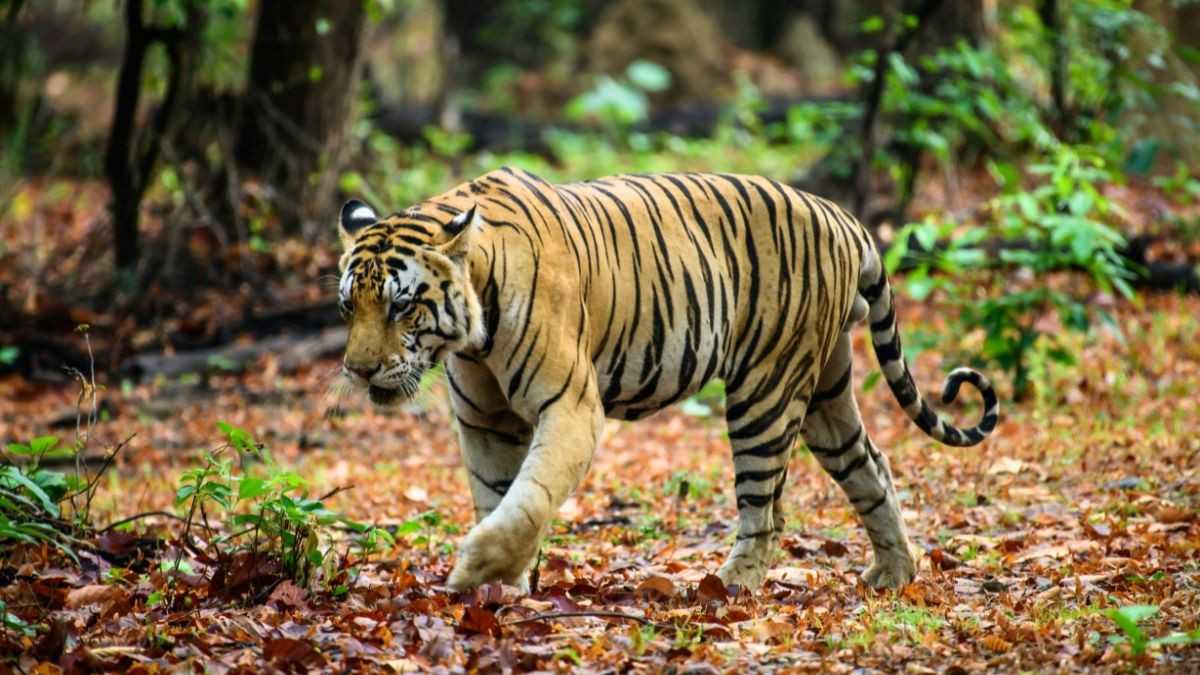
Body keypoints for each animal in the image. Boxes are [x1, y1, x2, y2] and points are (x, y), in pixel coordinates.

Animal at [333, 167, 999, 592]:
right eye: (348, 307)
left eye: (400, 306)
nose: (358, 370)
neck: (471, 333)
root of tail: (840, 215)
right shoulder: (486, 420)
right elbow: (497, 495)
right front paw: (500, 587)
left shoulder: (571, 406)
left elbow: (530, 496)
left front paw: (476, 570)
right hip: (825, 393)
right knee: (871, 466)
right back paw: (894, 573)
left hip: (765, 389)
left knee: (765, 508)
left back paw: (730, 586)